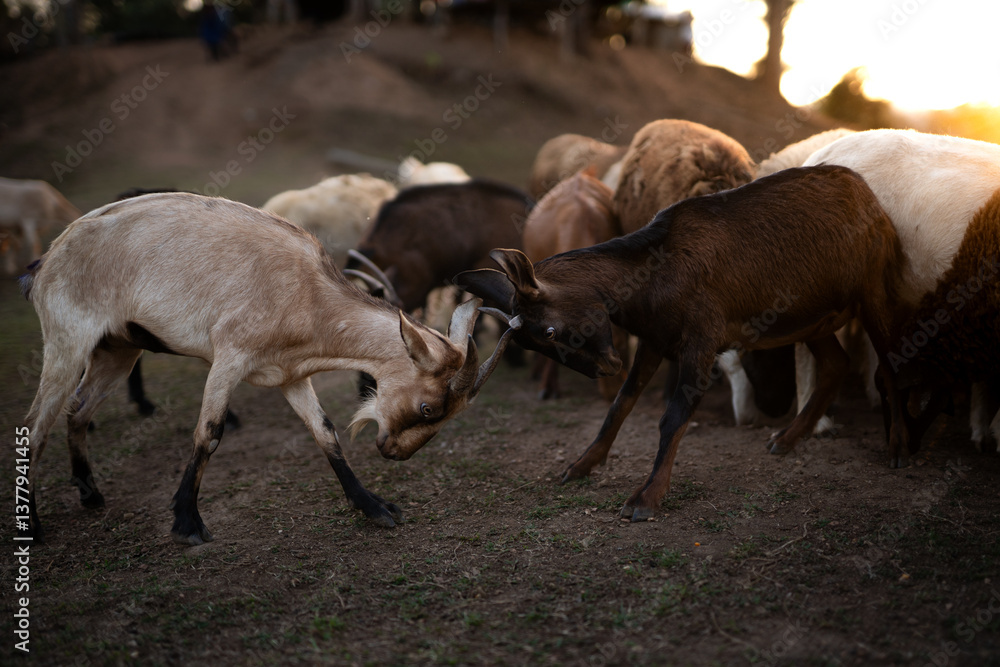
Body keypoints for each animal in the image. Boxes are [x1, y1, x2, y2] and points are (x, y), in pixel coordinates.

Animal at [19, 193, 516, 545]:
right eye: (429, 408)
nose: (395, 452)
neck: (305, 294)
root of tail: (46, 261)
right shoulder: (229, 357)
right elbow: (209, 433)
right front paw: (188, 524)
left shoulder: (291, 375)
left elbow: (325, 433)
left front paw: (376, 508)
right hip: (68, 341)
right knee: (35, 425)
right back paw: (34, 530)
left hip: (117, 350)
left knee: (79, 410)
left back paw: (90, 494)